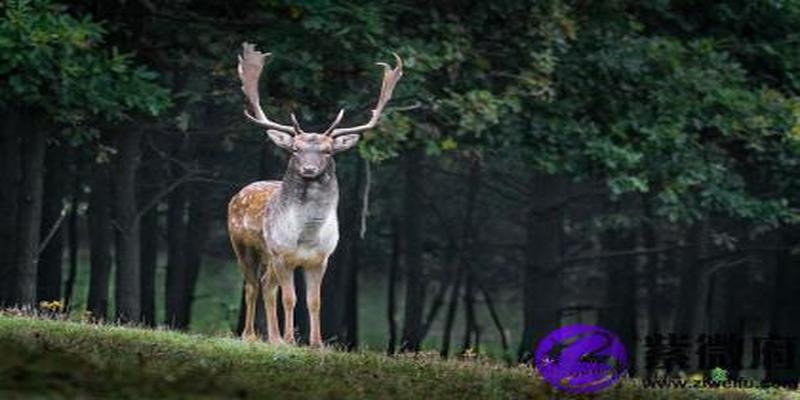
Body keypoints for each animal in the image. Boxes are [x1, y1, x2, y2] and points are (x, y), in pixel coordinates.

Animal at [227, 42, 404, 346]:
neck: (307, 235)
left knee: (266, 284)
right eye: (295, 149)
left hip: (268, 257)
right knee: (251, 285)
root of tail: (238, 194)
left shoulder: (321, 259)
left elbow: (314, 301)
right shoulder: (282, 254)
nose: (309, 169)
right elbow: (290, 298)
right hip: (245, 245)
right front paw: (290, 340)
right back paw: (251, 335)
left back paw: (272, 337)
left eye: (328, 151)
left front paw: (317, 343)